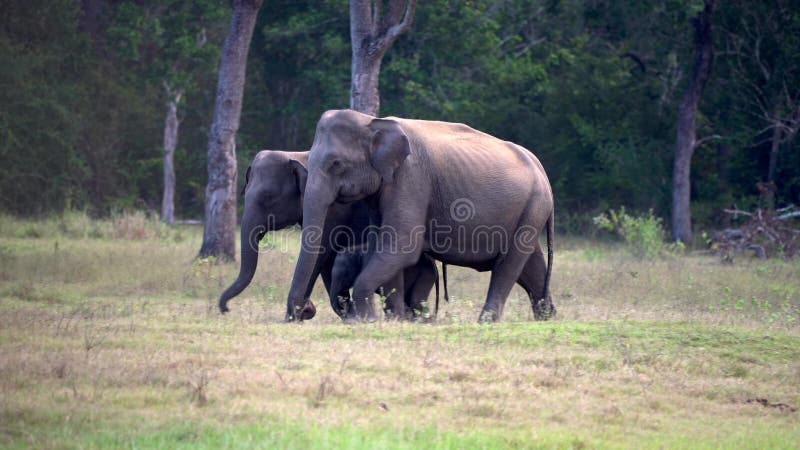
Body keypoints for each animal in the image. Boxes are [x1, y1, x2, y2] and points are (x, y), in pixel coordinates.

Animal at [284, 110, 552, 324]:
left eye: (337, 164)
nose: (304, 311)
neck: (372, 121)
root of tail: (541, 169)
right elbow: (382, 244)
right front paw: (394, 319)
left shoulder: (411, 179)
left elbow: (402, 245)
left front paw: (366, 320)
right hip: (529, 212)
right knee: (531, 264)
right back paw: (546, 317)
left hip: (533, 207)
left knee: (508, 265)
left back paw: (486, 322)